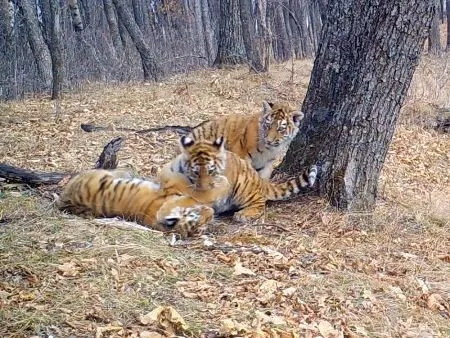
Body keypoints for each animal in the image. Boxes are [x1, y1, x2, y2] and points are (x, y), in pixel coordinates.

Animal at [157, 135, 316, 224]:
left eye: (211, 171)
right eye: (196, 172)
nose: (205, 188)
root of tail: (260, 180)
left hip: (243, 187)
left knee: (260, 204)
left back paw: (243, 215)